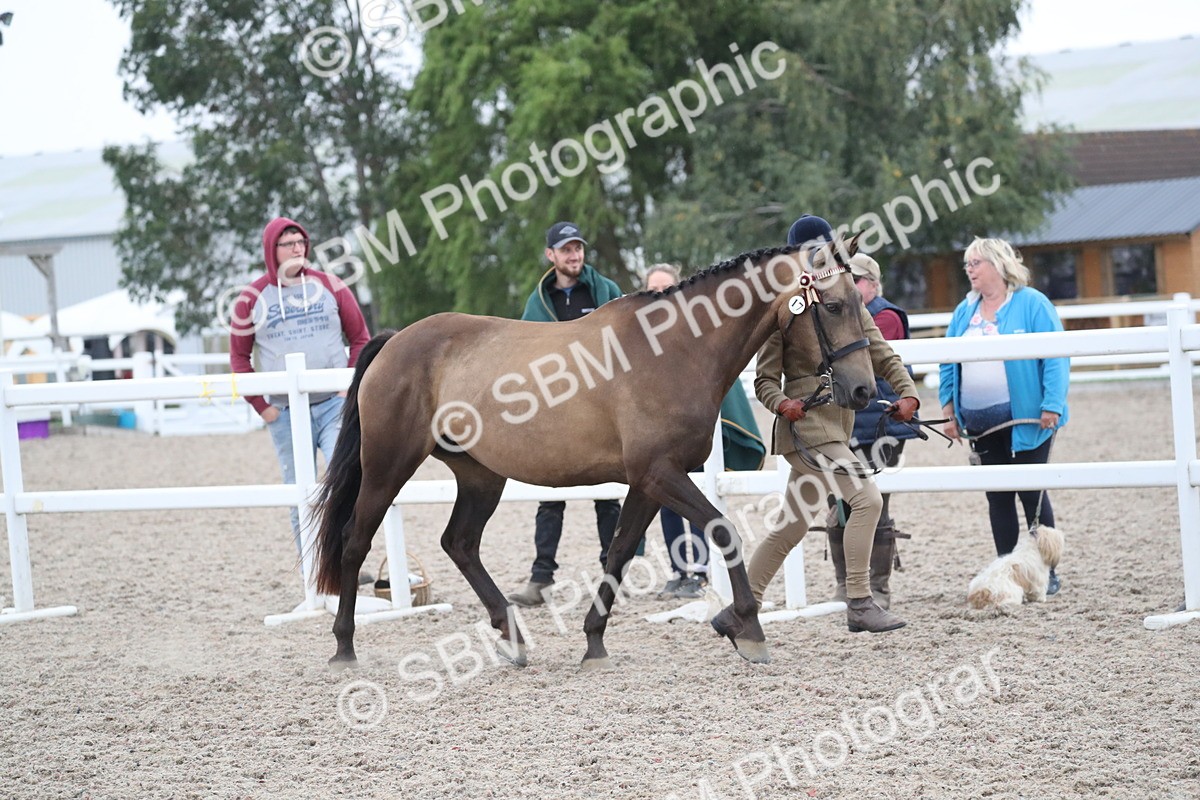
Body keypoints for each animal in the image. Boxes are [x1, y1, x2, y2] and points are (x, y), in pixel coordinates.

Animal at [312, 235, 876, 670]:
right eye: (833, 306)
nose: (863, 391)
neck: (674, 349)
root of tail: (394, 341)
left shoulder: (649, 482)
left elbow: (620, 551)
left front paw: (594, 642)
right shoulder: (661, 475)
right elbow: (722, 531)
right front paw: (749, 631)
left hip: (480, 475)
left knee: (460, 543)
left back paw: (511, 637)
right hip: (387, 467)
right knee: (355, 541)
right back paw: (344, 648)